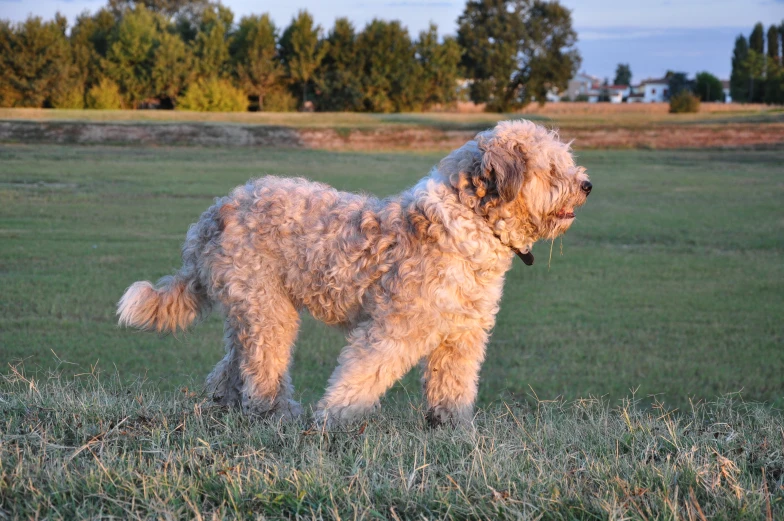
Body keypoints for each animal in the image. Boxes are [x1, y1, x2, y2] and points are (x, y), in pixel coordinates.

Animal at [116, 119, 592, 426]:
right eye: (553, 170)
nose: (587, 185)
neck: (469, 223)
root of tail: (212, 215)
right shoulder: (395, 328)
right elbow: (363, 375)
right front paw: (333, 420)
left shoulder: (464, 333)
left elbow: (453, 385)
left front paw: (452, 429)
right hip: (266, 307)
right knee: (262, 367)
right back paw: (279, 415)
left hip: (250, 306)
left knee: (234, 364)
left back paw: (229, 404)